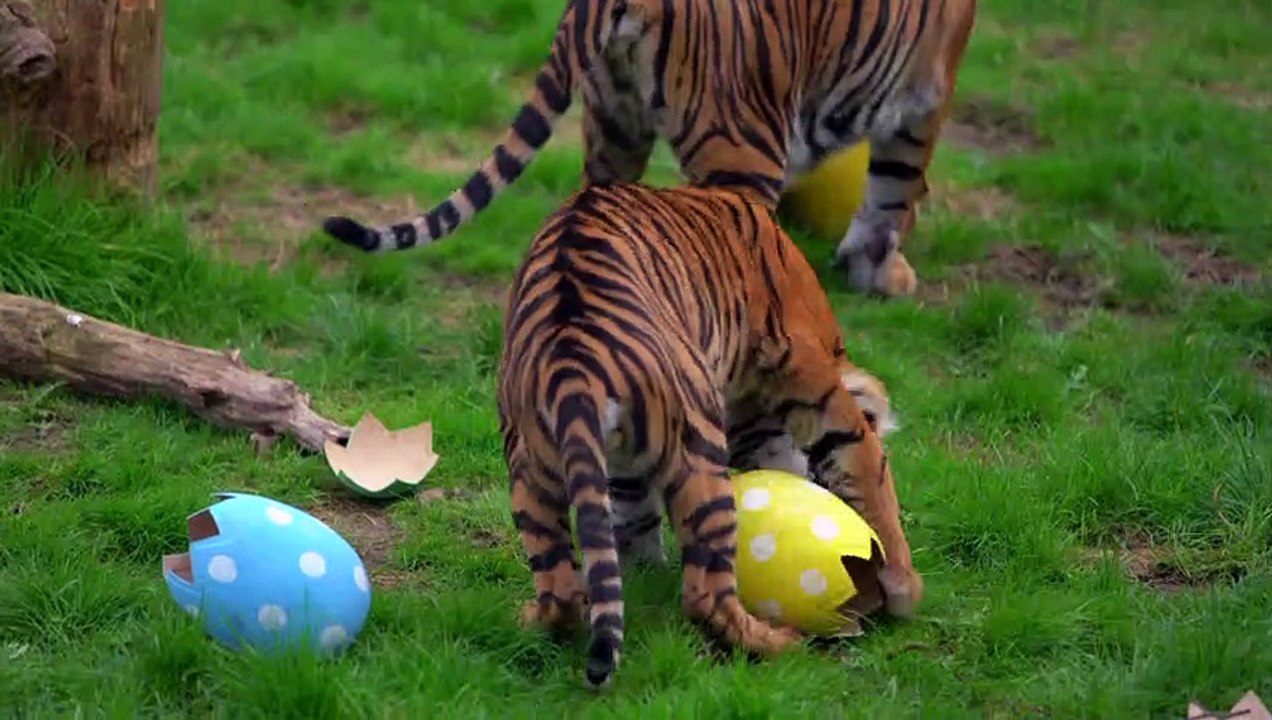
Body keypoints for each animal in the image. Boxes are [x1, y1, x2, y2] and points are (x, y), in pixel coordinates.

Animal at [495, 182, 922, 688]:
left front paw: (645, 576)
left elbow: (632, 520)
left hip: (532, 471)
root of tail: (571, 368)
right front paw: (903, 586)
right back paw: (780, 643)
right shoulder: (816, 386)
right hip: (699, 452)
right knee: (706, 596)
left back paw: (541, 617)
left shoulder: (626, 466)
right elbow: (871, 472)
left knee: (558, 586)